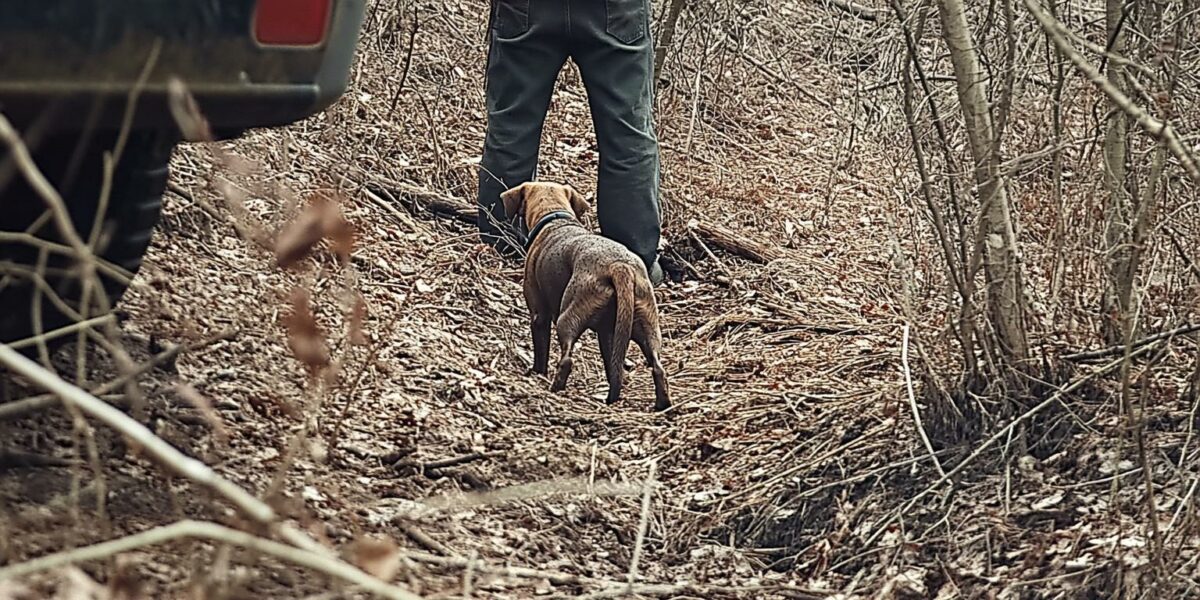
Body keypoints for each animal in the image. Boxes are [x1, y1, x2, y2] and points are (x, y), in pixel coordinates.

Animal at [494, 180, 667, 410]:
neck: (555, 217)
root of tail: (619, 266)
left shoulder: (539, 315)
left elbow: (541, 351)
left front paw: (537, 373)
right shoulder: (606, 333)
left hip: (568, 318)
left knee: (567, 360)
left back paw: (555, 389)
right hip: (646, 326)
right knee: (656, 368)